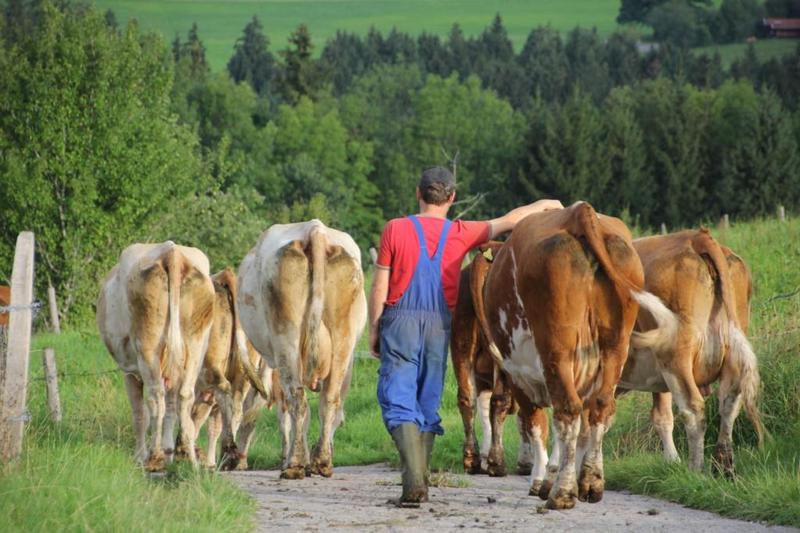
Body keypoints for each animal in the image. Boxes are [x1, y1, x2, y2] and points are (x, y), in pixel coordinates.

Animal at [97, 241, 215, 471]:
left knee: (155, 398)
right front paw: (169, 454)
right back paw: (190, 459)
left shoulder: (129, 372)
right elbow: (171, 408)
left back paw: (153, 455)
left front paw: (140, 456)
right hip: (194, 345)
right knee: (183, 396)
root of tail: (172, 253)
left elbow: (139, 413)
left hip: (148, 347)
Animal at [238, 220, 366, 479]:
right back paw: (322, 462)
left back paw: (294, 464)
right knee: (330, 399)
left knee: (297, 398)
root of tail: (315, 230)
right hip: (343, 337)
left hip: (286, 336)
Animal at [451, 242, 549, 480]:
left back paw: (472, 460)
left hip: (461, 341)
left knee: (467, 399)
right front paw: (526, 462)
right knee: (499, 400)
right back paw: (497, 463)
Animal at [476, 201, 670, 509]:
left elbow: (537, 425)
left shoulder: (520, 375)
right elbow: (580, 429)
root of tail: (579, 212)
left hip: (557, 349)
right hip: (615, 347)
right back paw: (591, 482)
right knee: (600, 409)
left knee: (567, 411)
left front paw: (541, 481)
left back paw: (563, 493)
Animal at [620, 229, 765, 477]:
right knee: (729, 402)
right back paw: (723, 466)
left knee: (693, 409)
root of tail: (695, 237)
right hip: (729, 349)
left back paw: (696, 470)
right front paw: (672, 462)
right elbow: (661, 416)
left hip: (674, 355)